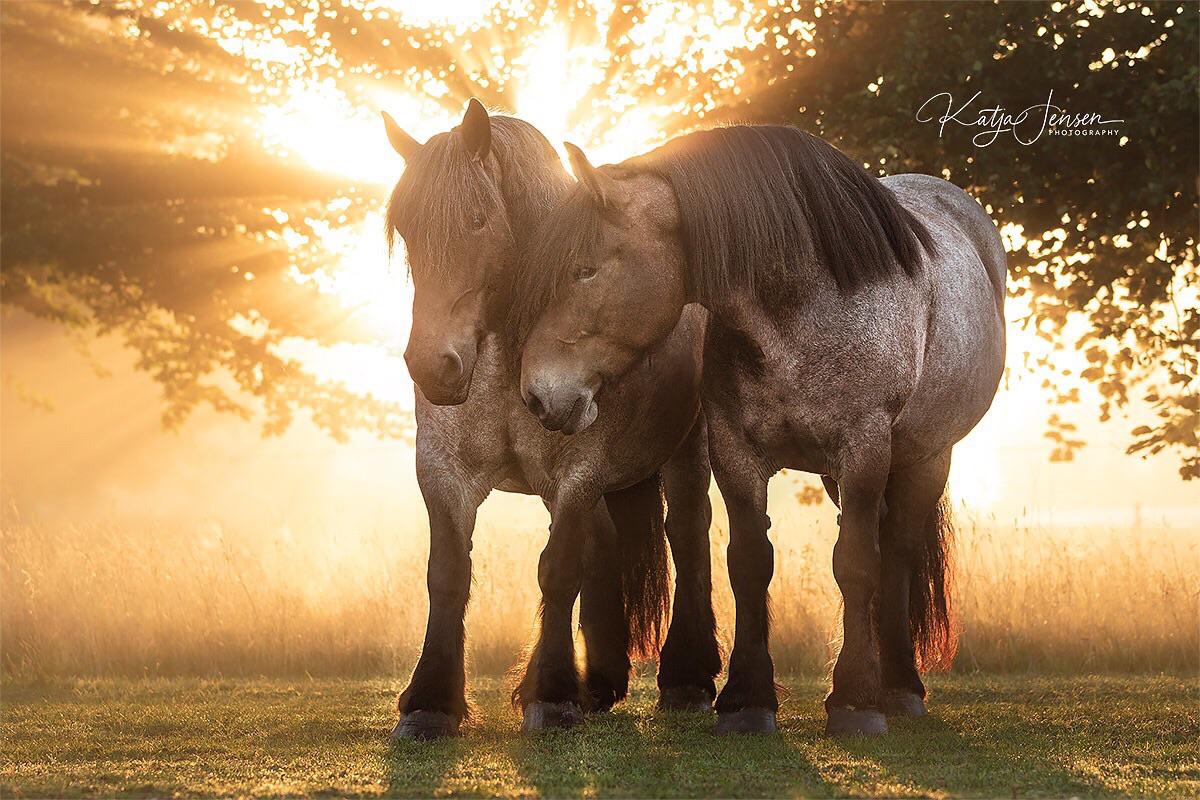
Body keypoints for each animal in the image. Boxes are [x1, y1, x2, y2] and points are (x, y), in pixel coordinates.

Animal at [380, 100, 721, 738]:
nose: (434, 366)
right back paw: (603, 679)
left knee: (688, 532)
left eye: (479, 218)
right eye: (407, 228)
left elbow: (559, 568)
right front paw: (431, 701)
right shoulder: (444, 474)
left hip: (686, 452)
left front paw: (554, 697)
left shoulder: (577, 473)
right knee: (605, 542)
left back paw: (687, 678)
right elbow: (448, 575)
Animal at [513, 124, 1006, 736]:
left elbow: (855, 564)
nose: (537, 393)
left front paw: (855, 703)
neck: (803, 306)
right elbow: (750, 563)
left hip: (924, 457)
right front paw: (747, 700)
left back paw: (897, 687)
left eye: (585, 268)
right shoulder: (736, 452)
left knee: (896, 554)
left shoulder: (863, 448)